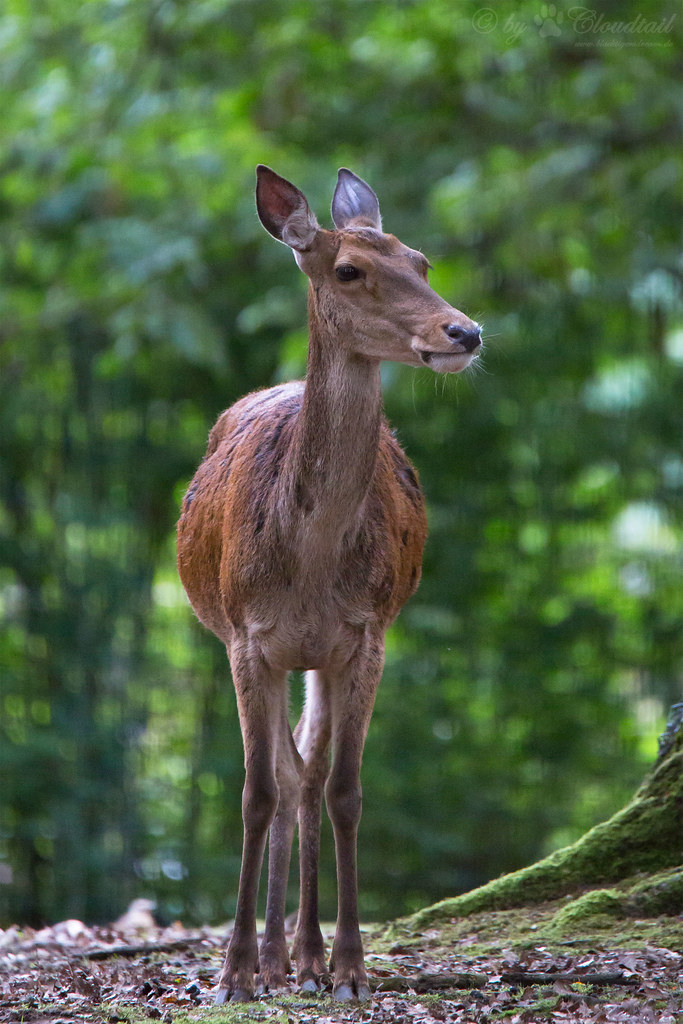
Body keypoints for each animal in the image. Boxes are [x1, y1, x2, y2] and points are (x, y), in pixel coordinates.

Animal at [176, 165, 482, 1003]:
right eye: (348, 270)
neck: (308, 564)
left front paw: (347, 967)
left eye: (421, 261)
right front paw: (234, 973)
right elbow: (255, 792)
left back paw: (304, 958)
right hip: (257, 645)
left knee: (307, 777)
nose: (464, 333)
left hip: (317, 658)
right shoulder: (247, 638)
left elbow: (343, 790)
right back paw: (277, 957)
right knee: (286, 779)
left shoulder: (365, 635)